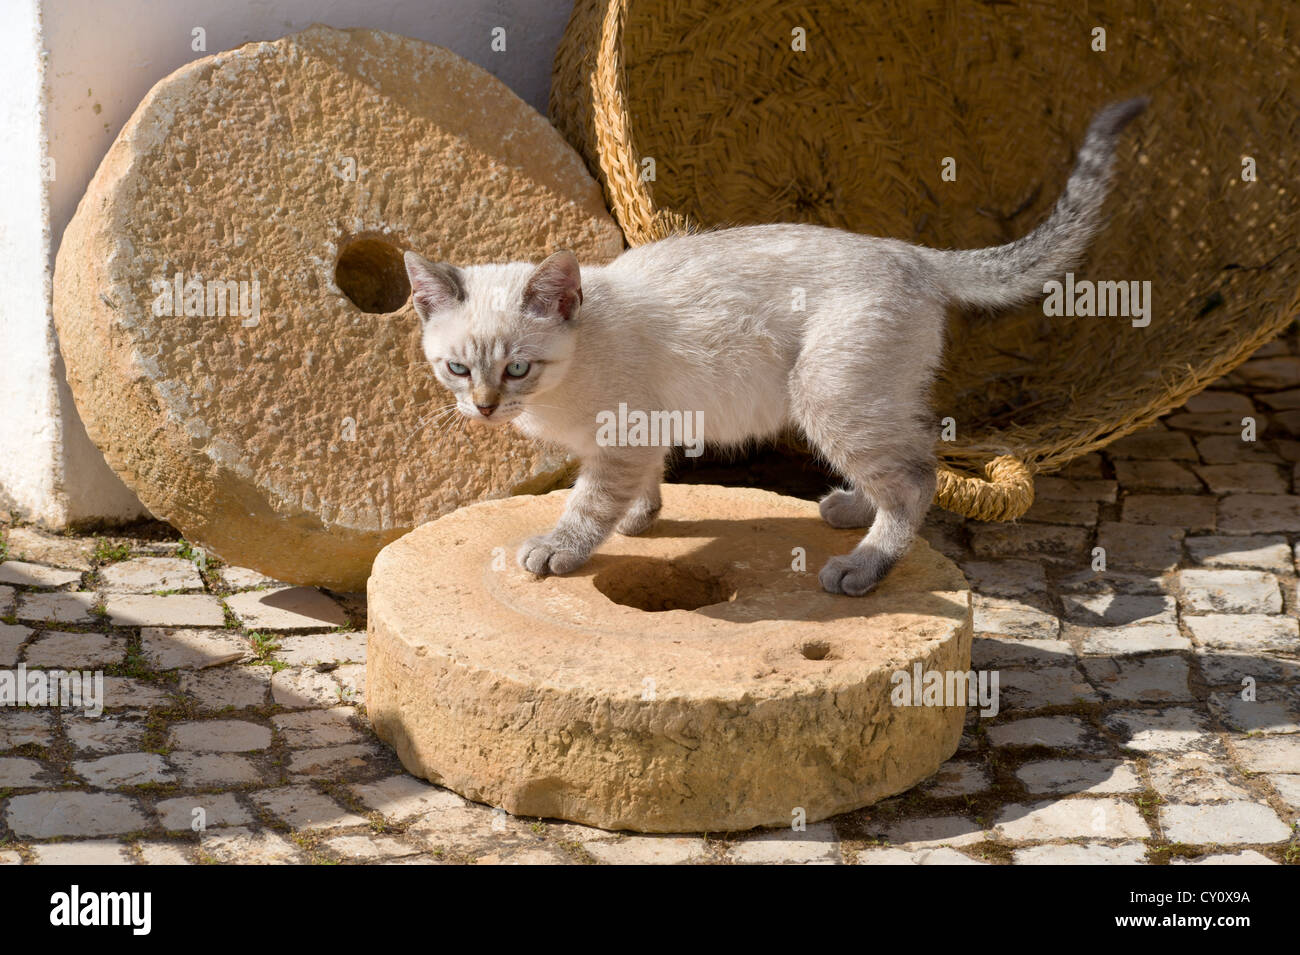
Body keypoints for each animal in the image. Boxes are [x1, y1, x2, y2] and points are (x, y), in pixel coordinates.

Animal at [405, 95, 1149, 589]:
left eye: (518, 368)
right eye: (456, 368)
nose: (484, 407)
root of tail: (910, 253)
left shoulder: (621, 437)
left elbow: (589, 502)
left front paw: (561, 548)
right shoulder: (644, 433)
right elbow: (643, 484)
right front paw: (642, 519)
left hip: (825, 394)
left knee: (916, 478)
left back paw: (862, 565)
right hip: (869, 395)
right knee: (920, 456)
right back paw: (853, 506)